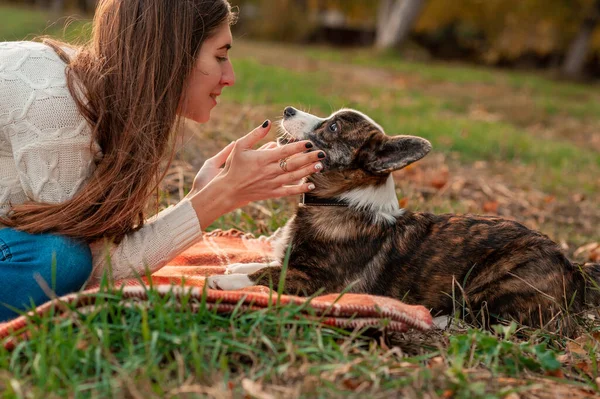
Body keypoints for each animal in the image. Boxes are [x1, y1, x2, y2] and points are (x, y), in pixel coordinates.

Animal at [207, 107, 600, 334]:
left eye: (333, 127)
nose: (288, 109)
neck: (341, 202)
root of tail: (573, 267)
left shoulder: (317, 283)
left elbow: (267, 275)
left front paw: (224, 279)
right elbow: (268, 261)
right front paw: (236, 267)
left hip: (493, 283)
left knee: (490, 321)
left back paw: (436, 319)